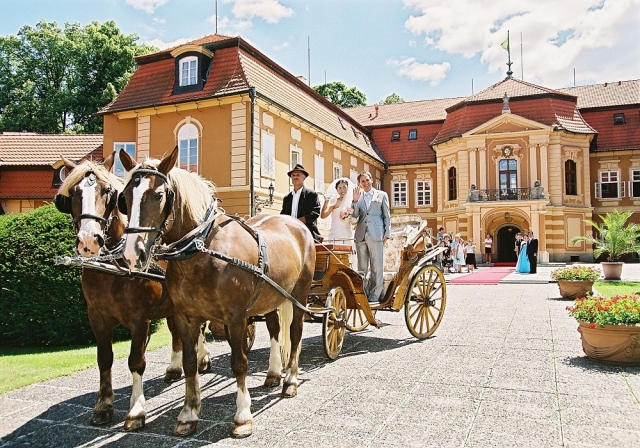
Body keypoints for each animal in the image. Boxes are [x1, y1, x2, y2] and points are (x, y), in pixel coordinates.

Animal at [55, 153, 210, 430]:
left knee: (200, 328)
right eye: (72, 193)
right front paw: (104, 405)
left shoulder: (140, 319)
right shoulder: (96, 317)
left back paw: (202, 359)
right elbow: (104, 358)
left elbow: (136, 361)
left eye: (108, 192)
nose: (88, 241)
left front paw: (136, 410)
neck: (111, 269)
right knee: (175, 333)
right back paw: (174, 367)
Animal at [117, 147, 316, 438]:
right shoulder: (185, 317)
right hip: (271, 296)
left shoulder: (236, 317)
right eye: (124, 198)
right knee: (275, 330)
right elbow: (190, 363)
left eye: (159, 195)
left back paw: (290, 380)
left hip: (299, 295)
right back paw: (272, 374)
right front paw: (188, 414)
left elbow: (239, 363)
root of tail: (296, 224)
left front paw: (242, 416)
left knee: (295, 332)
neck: (202, 248)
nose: (133, 253)